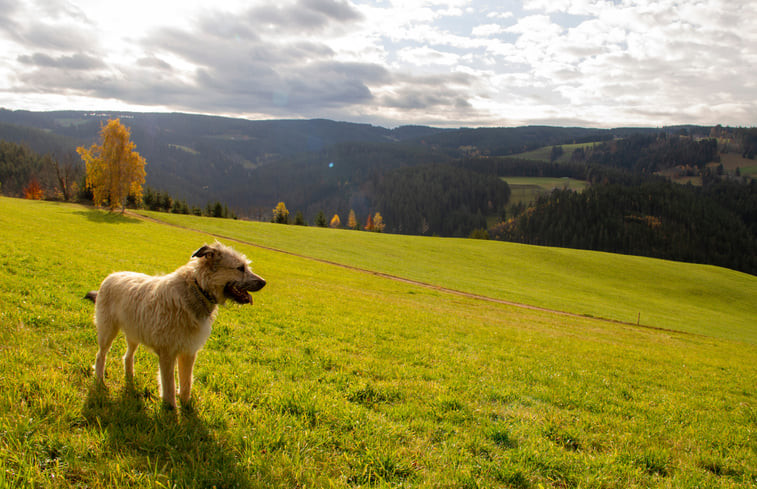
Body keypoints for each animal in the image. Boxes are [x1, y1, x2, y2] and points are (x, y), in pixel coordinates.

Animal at [83, 241, 264, 408]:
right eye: (240, 268)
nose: (264, 282)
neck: (197, 289)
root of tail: (111, 276)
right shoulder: (168, 353)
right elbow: (169, 384)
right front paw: (171, 410)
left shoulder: (189, 351)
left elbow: (186, 381)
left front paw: (186, 404)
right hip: (107, 330)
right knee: (101, 355)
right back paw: (99, 380)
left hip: (134, 333)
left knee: (128, 356)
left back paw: (129, 378)